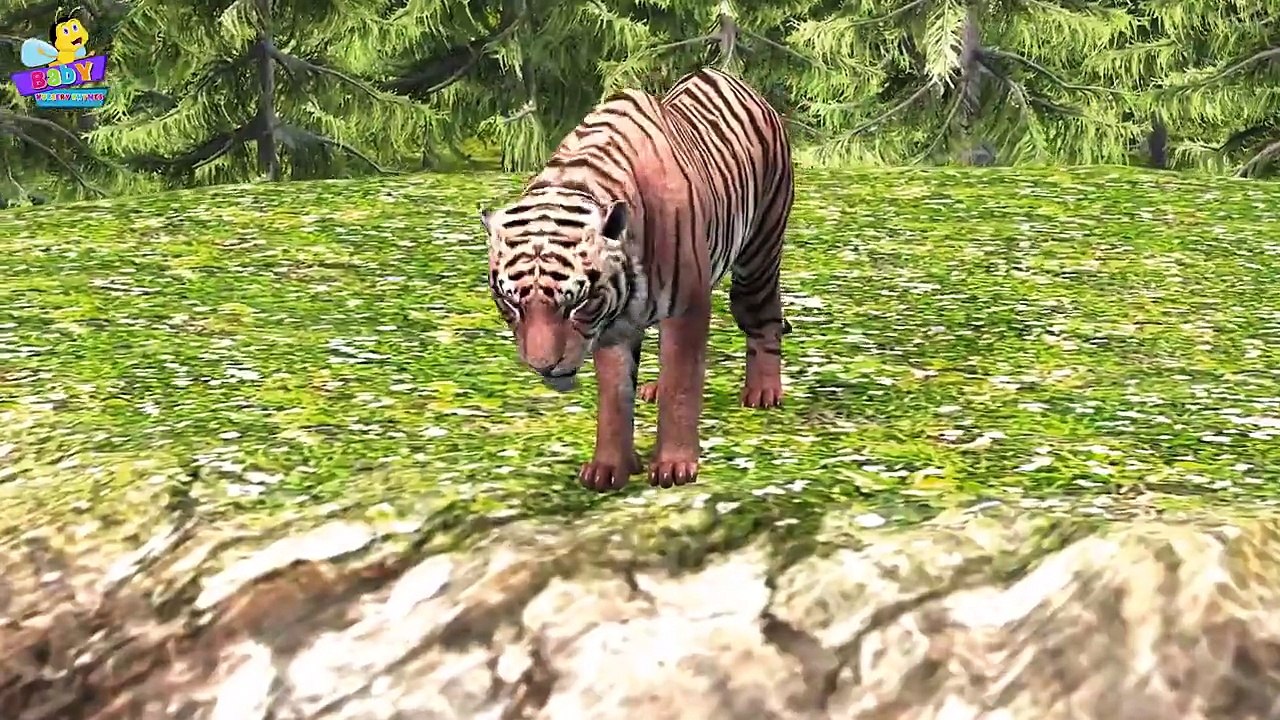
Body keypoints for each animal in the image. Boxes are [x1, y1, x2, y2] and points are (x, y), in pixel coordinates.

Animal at [479, 66, 794, 492]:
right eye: (511, 303)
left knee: (763, 318)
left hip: (758, 252)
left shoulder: (684, 308)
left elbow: (682, 383)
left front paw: (675, 466)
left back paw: (763, 391)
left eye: (576, 304)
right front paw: (608, 468)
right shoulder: (612, 325)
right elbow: (615, 393)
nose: (543, 367)